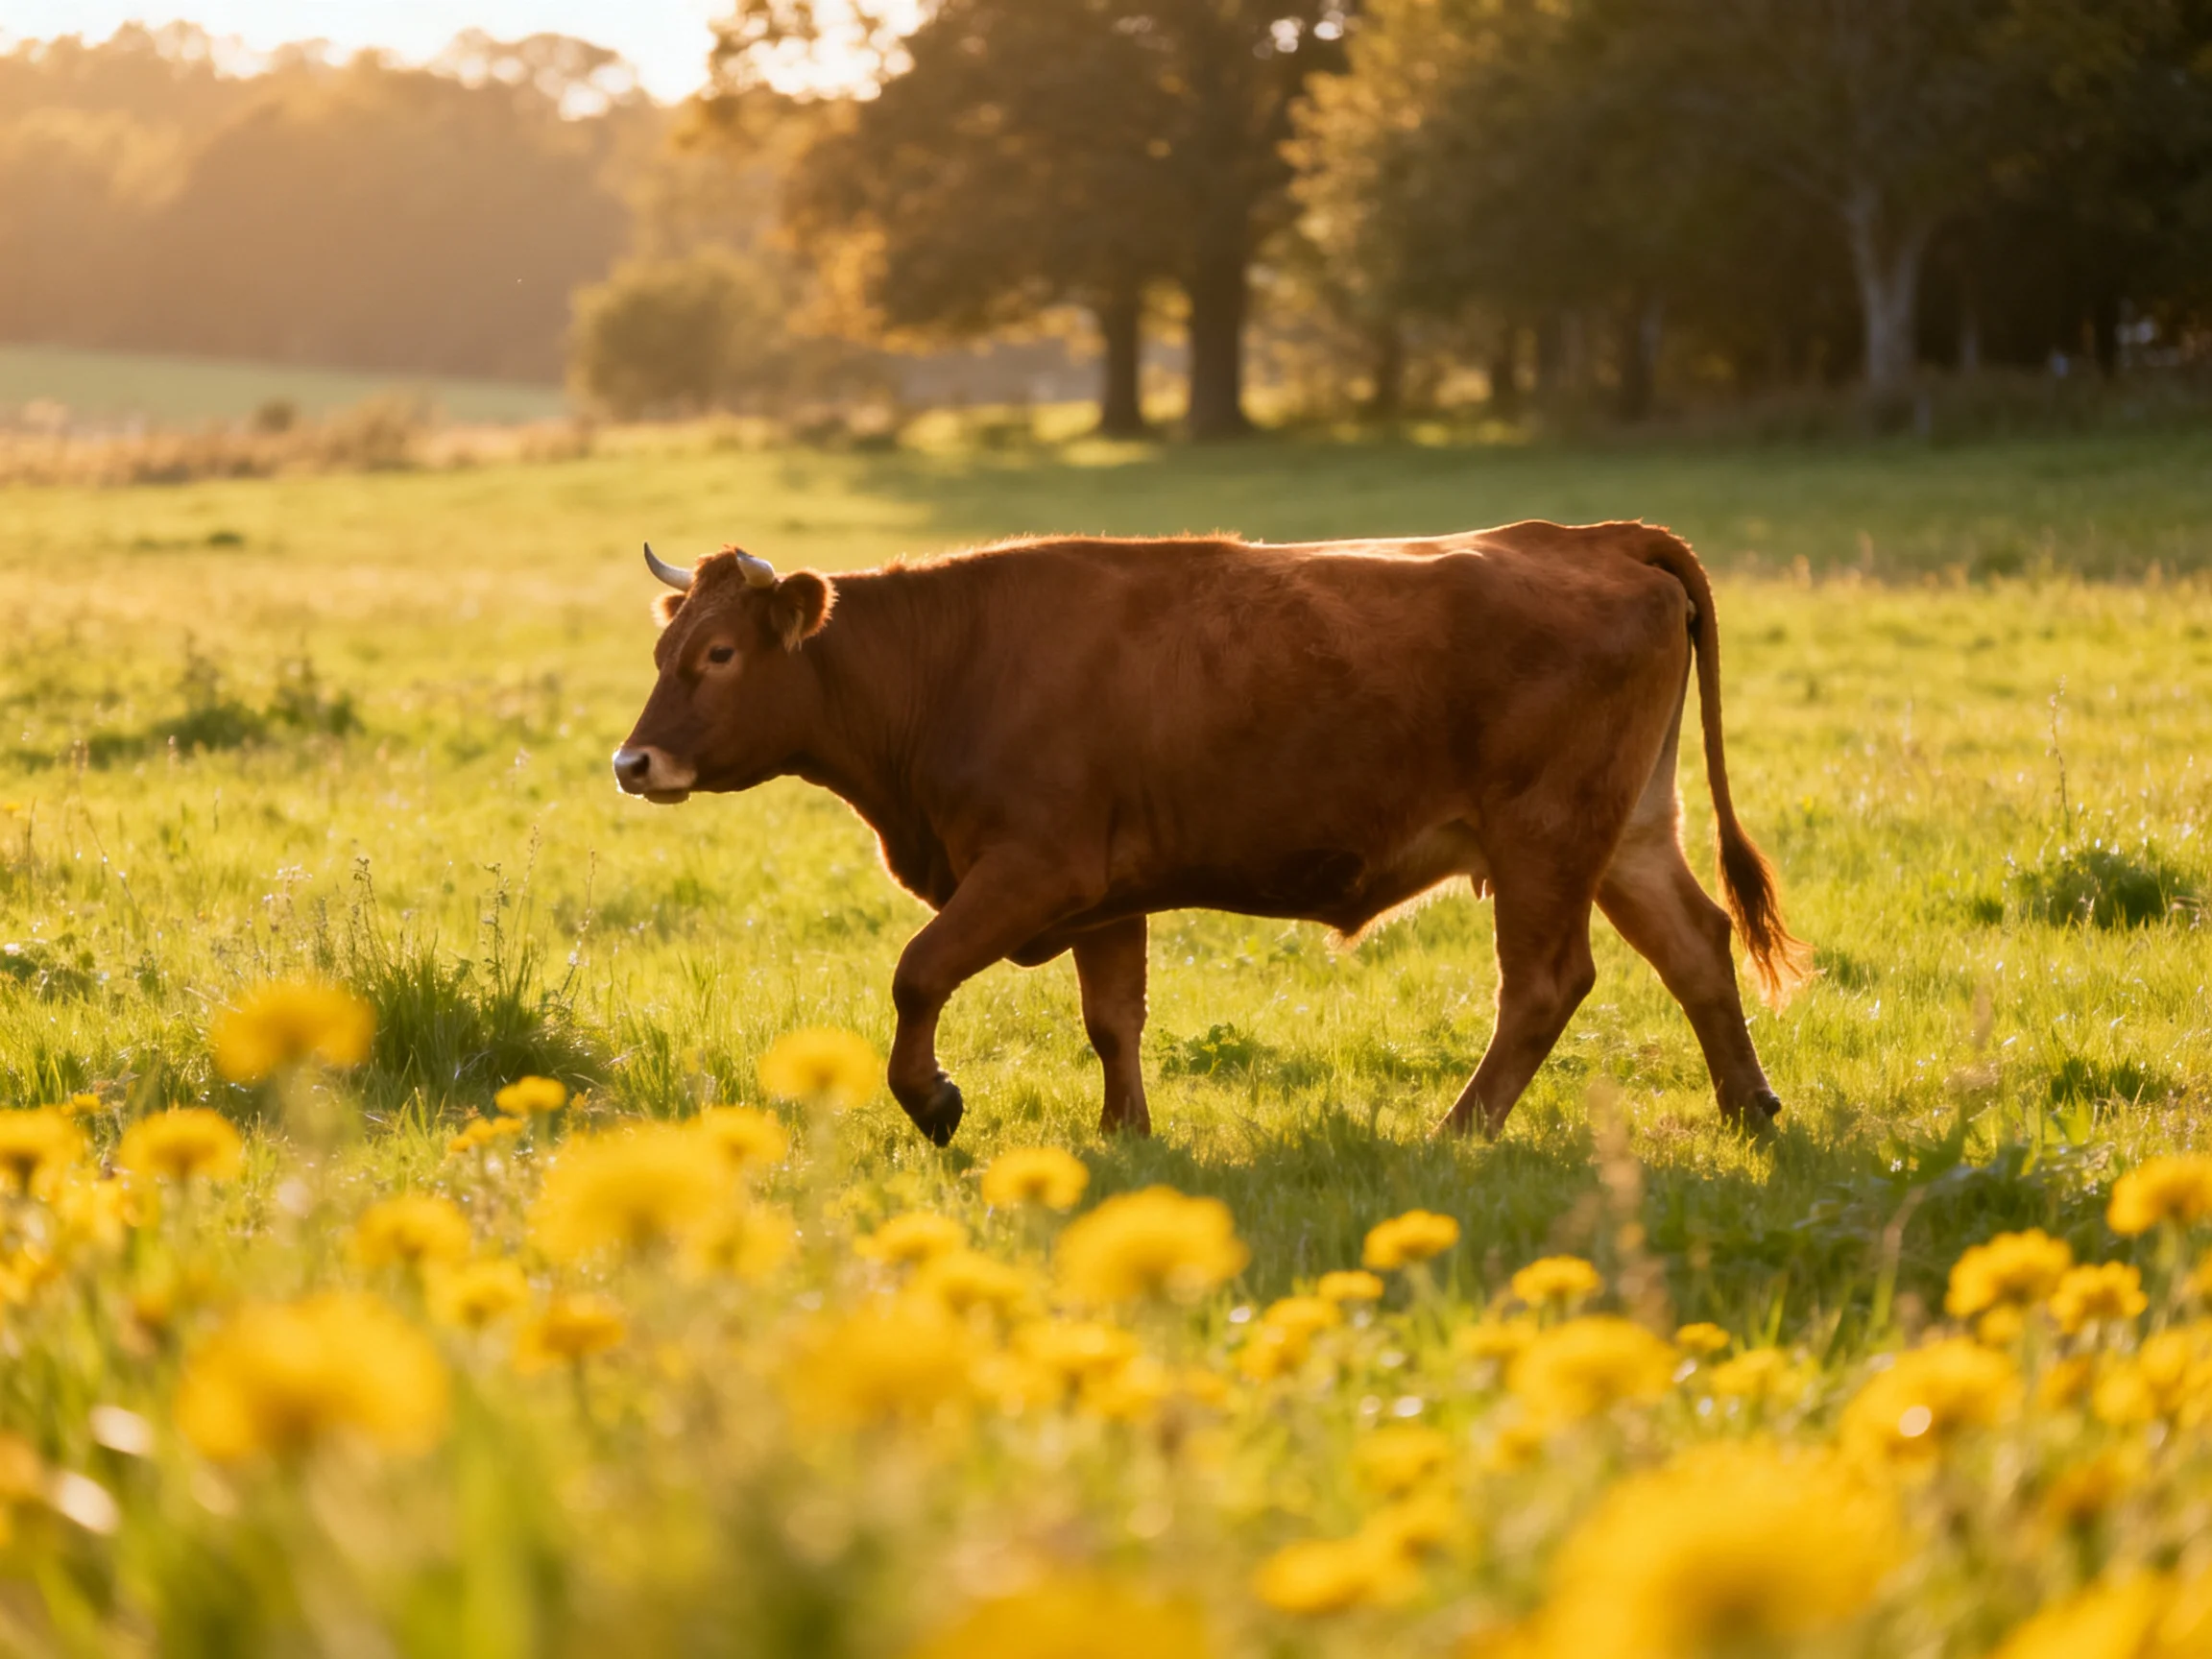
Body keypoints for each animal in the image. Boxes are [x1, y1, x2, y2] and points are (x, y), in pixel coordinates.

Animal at [613, 522, 1806, 1147]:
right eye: (663, 648)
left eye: (719, 654)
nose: (634, 764)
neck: (951, 664)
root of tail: (1595, 539)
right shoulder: (1105, 892)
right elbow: (1112, 1018)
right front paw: (1125, 1132)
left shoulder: (1034, 867)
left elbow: (919, 971)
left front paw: (933, 1099)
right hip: (1629, 831)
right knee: (1697, 947)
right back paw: (1748, 1106)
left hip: (1547, 837)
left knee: (1548, 983)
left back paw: (1460, 1130)